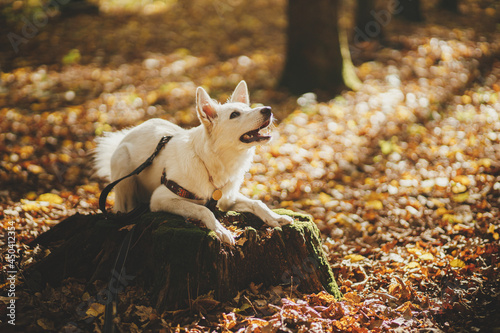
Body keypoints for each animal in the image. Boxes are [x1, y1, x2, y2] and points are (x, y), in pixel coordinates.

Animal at [94, 81, 292, 244]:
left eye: (247, 107)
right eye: (235, 114)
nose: (268, 109)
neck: (210, 161)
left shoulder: (226, 199)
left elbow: (257, 203)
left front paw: (275, 217)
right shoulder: (160, 198)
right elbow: (204, 210)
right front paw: (221, 230)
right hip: (124, 165)